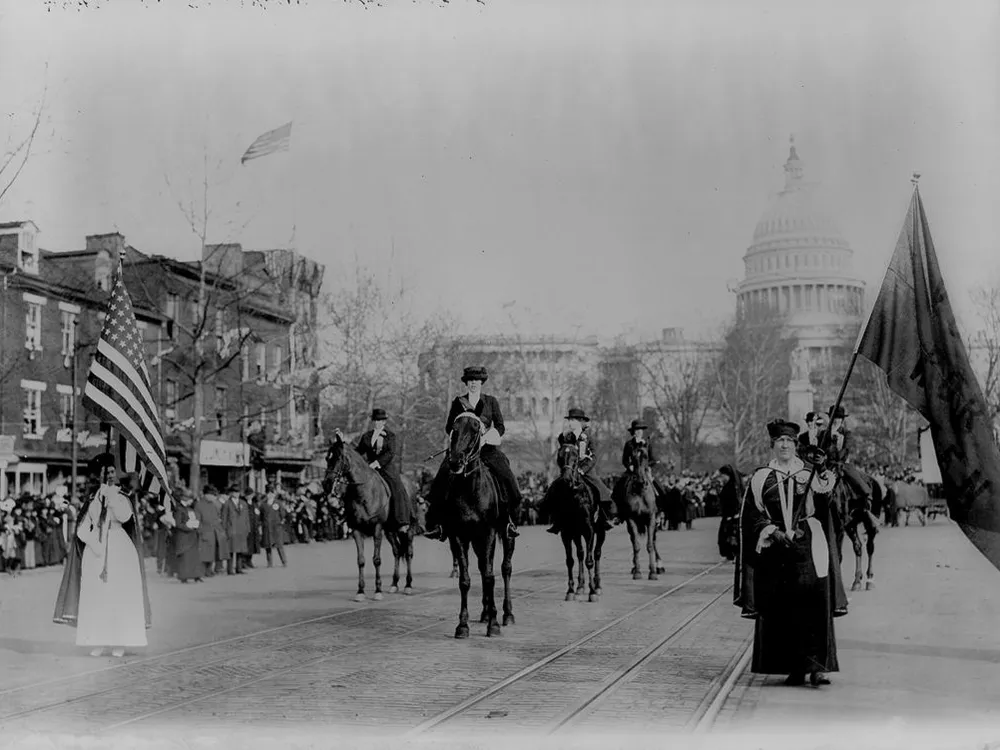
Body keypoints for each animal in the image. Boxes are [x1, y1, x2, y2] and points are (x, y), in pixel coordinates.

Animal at [322, 432, 412, 604]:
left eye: (338, 457)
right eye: (326, 458)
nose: (326, 483)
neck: (364, 492)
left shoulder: (377, 528)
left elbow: (376, 559)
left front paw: (377, 591)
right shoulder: (356, 530)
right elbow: (361, 560)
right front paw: (360, 591)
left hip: (407, 529)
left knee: (409, 552)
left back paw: (408, 585)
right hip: (390, 531)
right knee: (397, 551)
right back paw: (394, 583)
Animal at [446, 414, 516, 636]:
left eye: (476, 429)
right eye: (454, 428)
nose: (455, 461)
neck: (470, 490)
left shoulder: (489, 533)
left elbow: (489, 576)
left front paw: (493, 624)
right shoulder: (459, 537)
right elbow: (465, 579)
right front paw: (462, 625)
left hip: (506, 534)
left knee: (505, 568)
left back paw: (506, 614)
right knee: (483, 566)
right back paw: (485, 612)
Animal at [552, 444, 604, 604]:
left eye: (575, 457)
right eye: (560, 457)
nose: (566, 479)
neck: (574, 496)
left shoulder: (589, 530)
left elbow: (589, 561)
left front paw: (592, 592)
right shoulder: (567, 532)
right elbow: (570, 560)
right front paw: (570, 590)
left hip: (600, 532)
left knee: (597, 553)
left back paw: (597, 586)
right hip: (576, 534)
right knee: (580, 554)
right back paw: (580, 587)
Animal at [616, 446, 664, 580]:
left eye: (646, 456)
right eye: (632, 456)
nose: (641, 480)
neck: (640, 491)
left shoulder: (651, 518)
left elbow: (650, 545)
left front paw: (653, 572)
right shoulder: (631, 519)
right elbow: (636, 545)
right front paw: (637, 572)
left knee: (653, 540)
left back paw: (659, 566)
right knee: (633, 541)